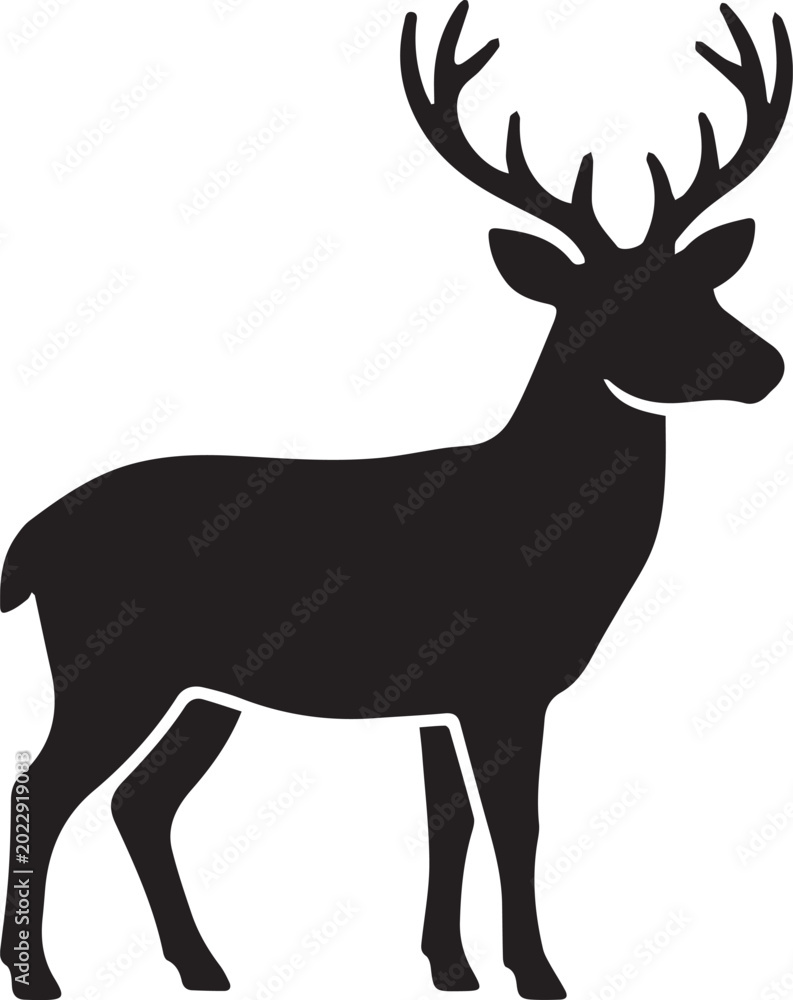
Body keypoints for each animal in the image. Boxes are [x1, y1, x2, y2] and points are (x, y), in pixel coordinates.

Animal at [1, 2, 791, 998]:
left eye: (700, 283)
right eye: (616, 302)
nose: (766, 365)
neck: (539, 527)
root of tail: (27, 543)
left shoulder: (437, 695)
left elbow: (445, 821)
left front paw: (450, 966)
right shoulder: (501, 682)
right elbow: (516, 825)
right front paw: (539, 974)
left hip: (200, 686)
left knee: (141, 801)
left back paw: (202, 965)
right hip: (111, 664)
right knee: (47, 782)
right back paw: (40, 975)